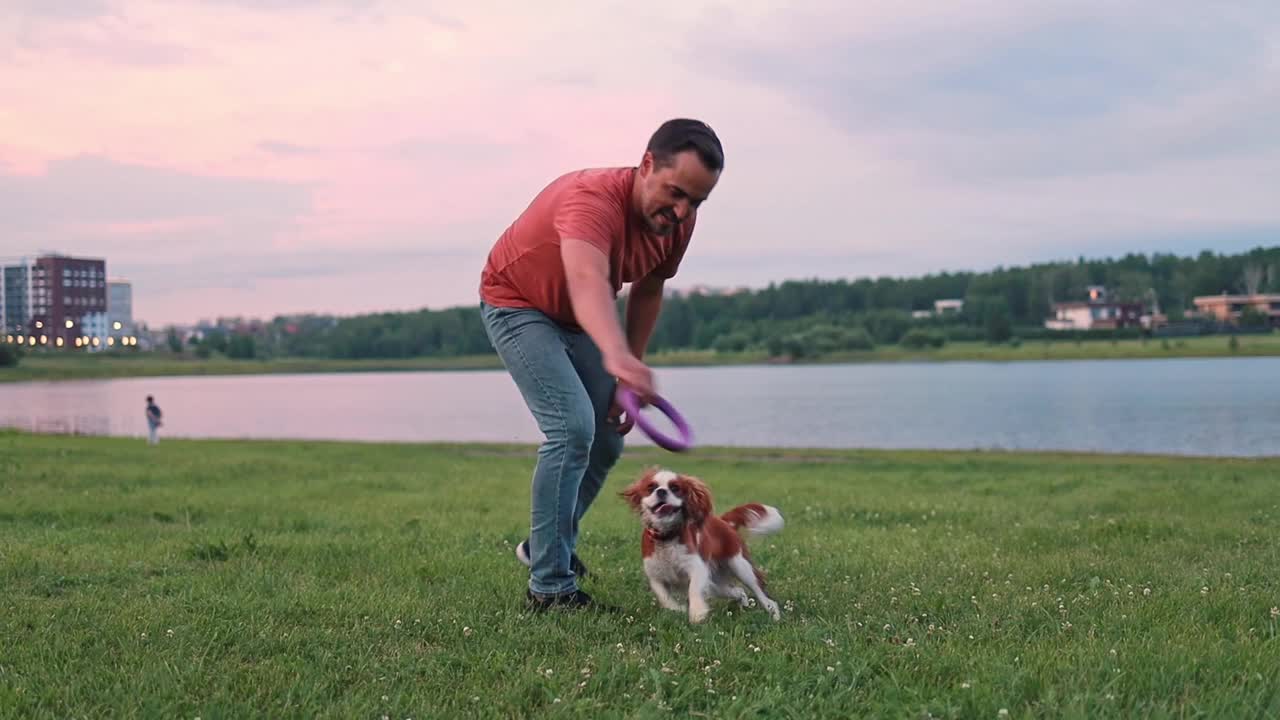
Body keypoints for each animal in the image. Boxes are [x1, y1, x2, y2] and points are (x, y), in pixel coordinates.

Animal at [616, 468, 778, 620]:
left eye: (675, 488)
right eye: (651, 487)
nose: (661, 491)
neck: (666, 537)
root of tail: (725, 522)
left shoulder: (697, 568)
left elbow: (693, 589)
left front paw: (697, 614)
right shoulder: (655, 574)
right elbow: (663, 596)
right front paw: (677, 609)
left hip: (740, 566)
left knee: (763, 594)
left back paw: (774, 615)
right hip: (716, 584)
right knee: (738, 591)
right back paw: (743, 603)